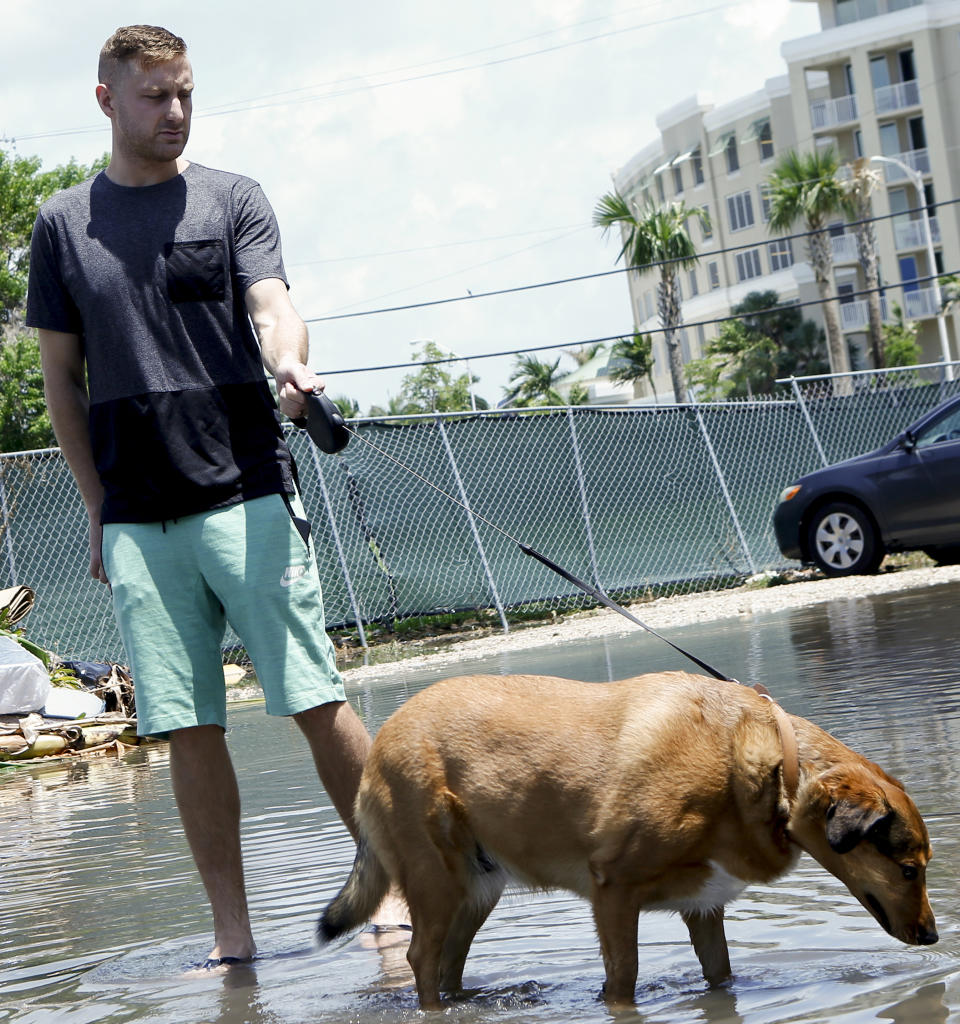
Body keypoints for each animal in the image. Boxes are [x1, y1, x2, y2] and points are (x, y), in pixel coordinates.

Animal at [317, 671, 933, 1007]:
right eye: (909, 870)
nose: (931, 937)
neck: (771, 763)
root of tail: (383, 739)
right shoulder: (613, 892)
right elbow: (624, 980)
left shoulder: (704, 909)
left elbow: (721, 975)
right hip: (437, 884)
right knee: (421, 957)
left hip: (475, 891)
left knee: (448, 963)